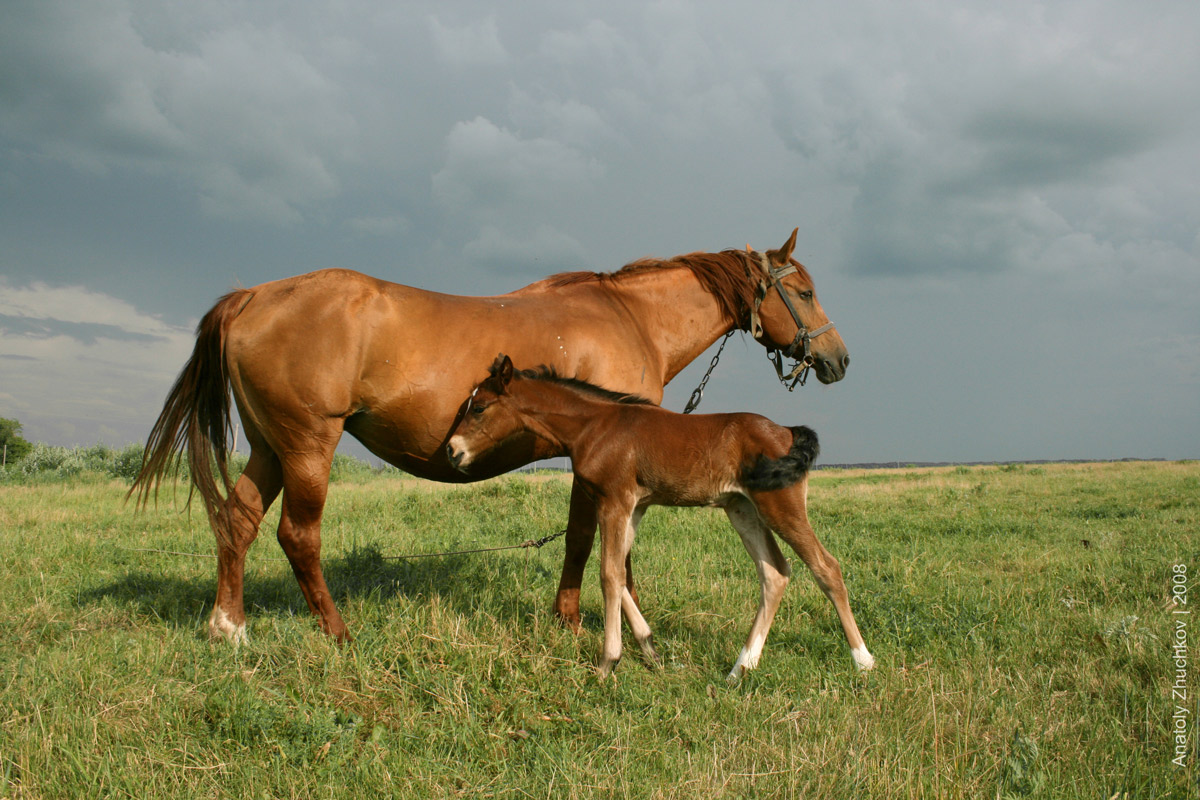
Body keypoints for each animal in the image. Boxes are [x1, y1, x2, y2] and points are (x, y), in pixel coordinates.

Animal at [131, 226, 849, 642]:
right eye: (805, 292)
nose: (838, 359)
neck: (629, 316)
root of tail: (252, 296)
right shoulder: (600, 462)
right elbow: (594, 543)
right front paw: (579, 620)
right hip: (309, 446)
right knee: (297, 536)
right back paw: (337, 632)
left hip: (269, 448)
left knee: (239, 520)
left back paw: (229, 627)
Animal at [446, 357, 878, 681]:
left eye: (479, 408)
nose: (452, 451)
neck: (594, 427)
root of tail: (787, 431)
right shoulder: (634, 506)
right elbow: (619, 573)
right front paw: (651, 649)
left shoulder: (615, 501)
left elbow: (609, 574)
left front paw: (608, 663)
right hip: (742, 509)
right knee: (774, 573)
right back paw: (739, 669)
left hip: (780, 505)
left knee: (826, 567)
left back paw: (863, 661)